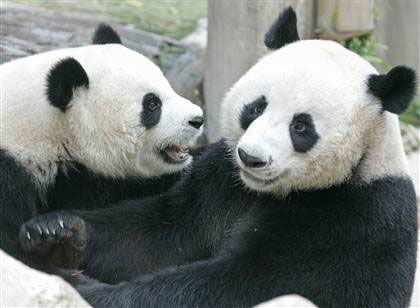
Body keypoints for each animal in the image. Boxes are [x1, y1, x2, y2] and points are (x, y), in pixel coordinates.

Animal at [21, 6, 416, 308]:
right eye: (256, 107)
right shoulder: (219, 181)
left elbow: (242, 284)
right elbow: (155, 236)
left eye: (301, 127)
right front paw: (56, 232)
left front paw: (87, 291)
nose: (252, 158)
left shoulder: (348, 220)